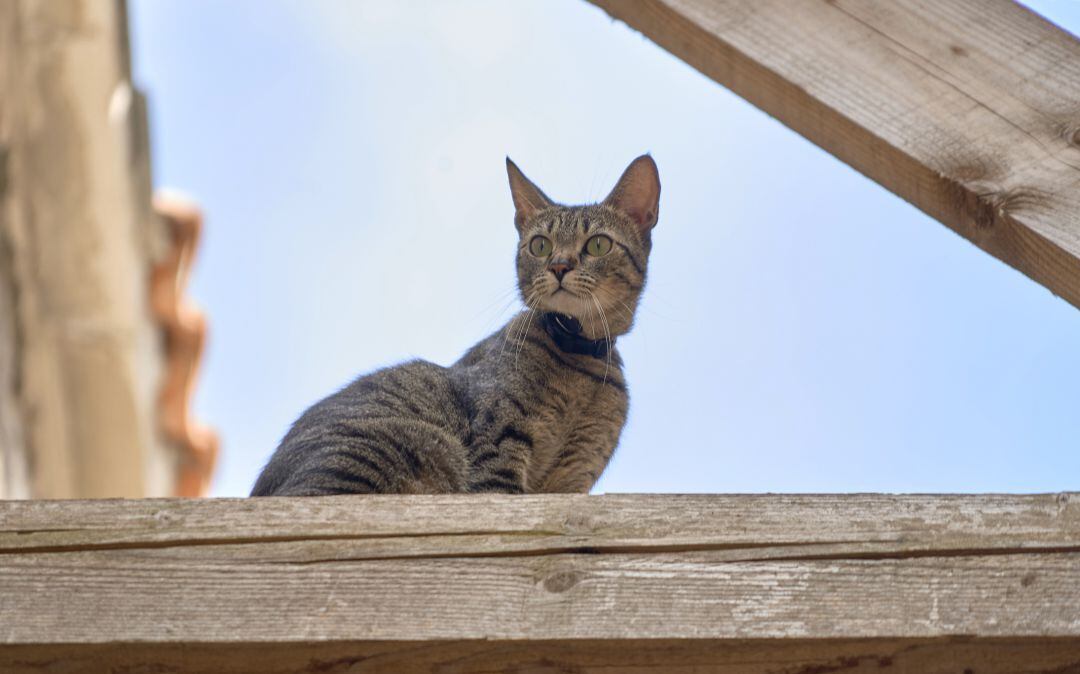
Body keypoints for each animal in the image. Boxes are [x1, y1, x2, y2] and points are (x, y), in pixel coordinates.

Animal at [250, 156, 656, 494]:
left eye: (598, 244)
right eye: (540, 245)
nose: (558, 266)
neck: (578, 354)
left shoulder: (572, 477)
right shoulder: (499, 438)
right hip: (417, 444)